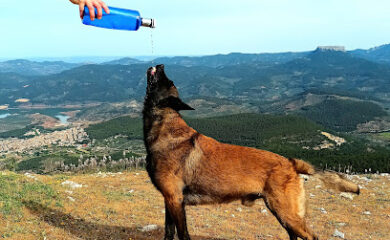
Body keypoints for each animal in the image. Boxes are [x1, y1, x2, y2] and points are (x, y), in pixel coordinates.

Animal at [143, 64, 360, 240]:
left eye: (167, 80)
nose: (161, 65)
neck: (165, 127)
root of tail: (291, 162)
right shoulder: (170, 201)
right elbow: (168, 232)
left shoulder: (175, 200)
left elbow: (182, 234)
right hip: (282, 214)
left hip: (286, 212)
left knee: (310, 236)